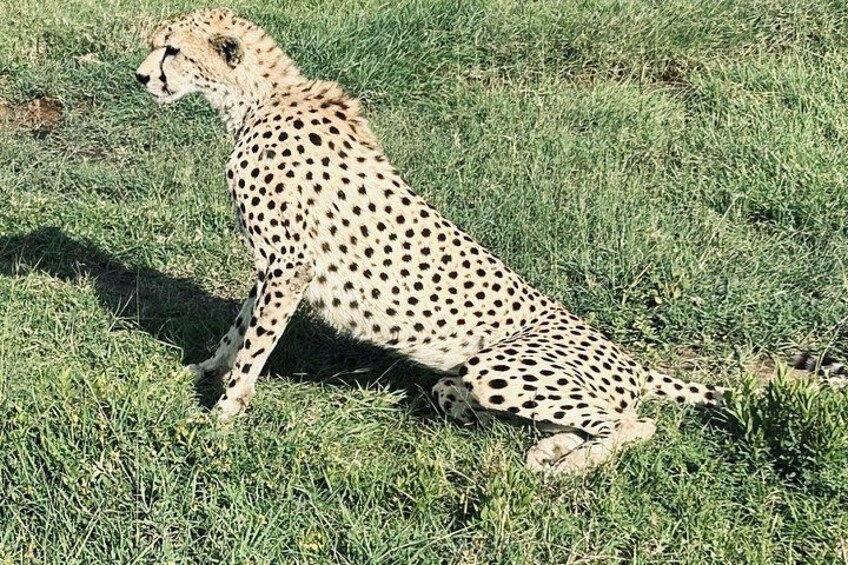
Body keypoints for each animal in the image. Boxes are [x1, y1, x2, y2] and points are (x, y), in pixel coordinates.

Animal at [135, 8, 728, 474]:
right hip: (465, 381)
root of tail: (632, 360)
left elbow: (255, 345)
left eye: (172, 49)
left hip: (499, 370)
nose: (141, 77)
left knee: (638, 424)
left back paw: (568, 465)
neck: (258, 99)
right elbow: (237, 329)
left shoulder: (289, 264)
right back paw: (547, 449)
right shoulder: (271, 267)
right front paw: (205, 371)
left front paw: (223, 416)